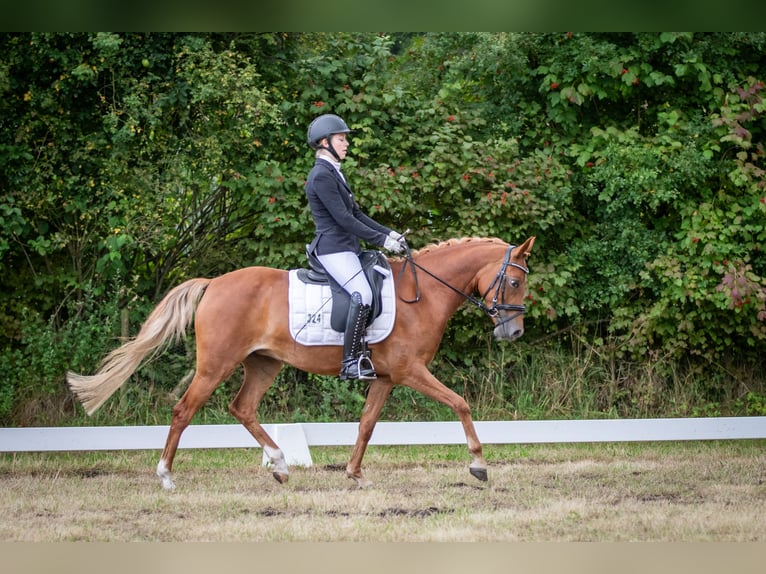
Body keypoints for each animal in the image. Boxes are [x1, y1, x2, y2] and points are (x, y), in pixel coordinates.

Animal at [66, 237, 536, 490]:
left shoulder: (386, 377)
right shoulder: (410, 371)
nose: (513, 334)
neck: (422, 296)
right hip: (216, 364)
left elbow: (367, 424)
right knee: (184, 410)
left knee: (242, 407)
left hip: (263, 363)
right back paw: (166, 476)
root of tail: (214, 283)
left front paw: (355, 474)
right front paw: (479, 465)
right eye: (514, 281)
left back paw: (279, 465)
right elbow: (460, 403)